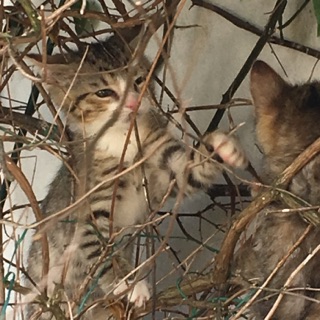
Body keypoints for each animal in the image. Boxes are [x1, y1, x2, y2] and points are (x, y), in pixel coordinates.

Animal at [26, 36, 248, 318]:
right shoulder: (88, 212)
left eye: (139, 81)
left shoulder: (164, 169)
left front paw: (222, 147)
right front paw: (129, 285)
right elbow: (101, 250)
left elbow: (189, 171)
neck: (124, 139)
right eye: (104, 93)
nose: (133, 102)